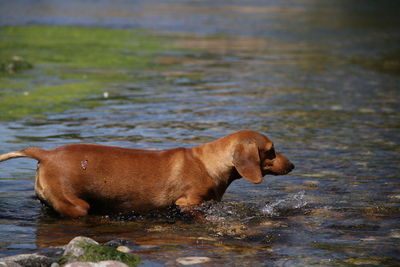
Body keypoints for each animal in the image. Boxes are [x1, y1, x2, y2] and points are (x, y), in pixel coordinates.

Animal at [0, 131, 294, 218]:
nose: (292, 166)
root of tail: (46, 153)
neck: (208, 162)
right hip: (76, 206)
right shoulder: (189, 203)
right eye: (271, 151)